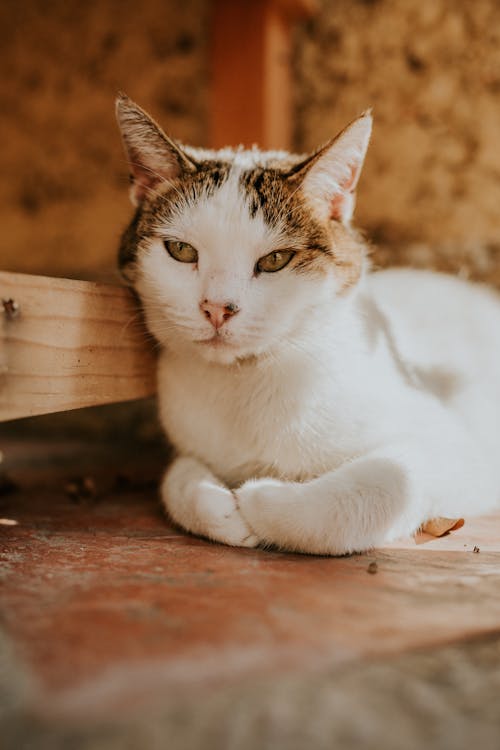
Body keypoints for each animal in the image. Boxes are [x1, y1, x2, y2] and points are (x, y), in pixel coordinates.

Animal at [115, 94, 500, 556]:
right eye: (181, 251)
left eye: (275, 260)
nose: (217, 308)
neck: (245, 383)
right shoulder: (189, 442)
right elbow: (177, 479)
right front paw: (217, 505)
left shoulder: (460, 451)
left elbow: (384, 486)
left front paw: (262, 498)